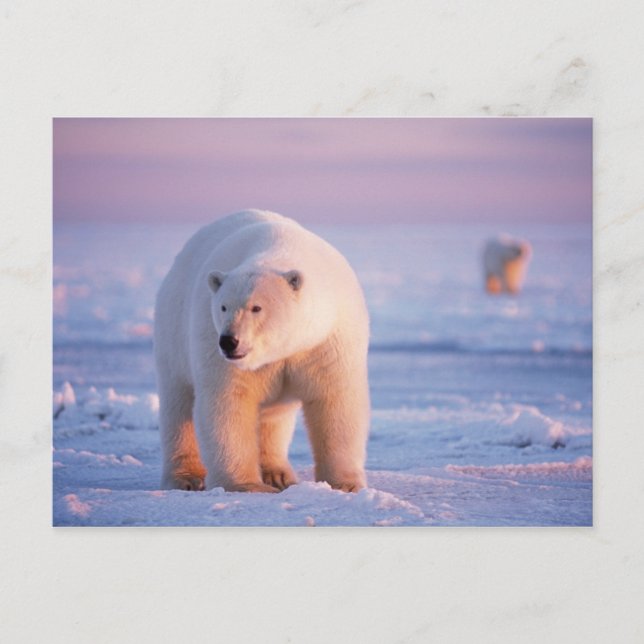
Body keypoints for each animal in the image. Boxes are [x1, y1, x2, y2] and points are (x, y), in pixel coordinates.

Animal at [154, 209, 370, 493]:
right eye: (223, 306)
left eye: (256, 307)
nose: (228, 341)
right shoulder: (212, 339)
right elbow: (228, 402)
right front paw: (246, 485)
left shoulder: (326, 341)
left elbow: (335, 400)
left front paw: (345, 485)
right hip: (173, 334)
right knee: (178, 405)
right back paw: (186, 478)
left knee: (273, 416)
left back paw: (277, 473)